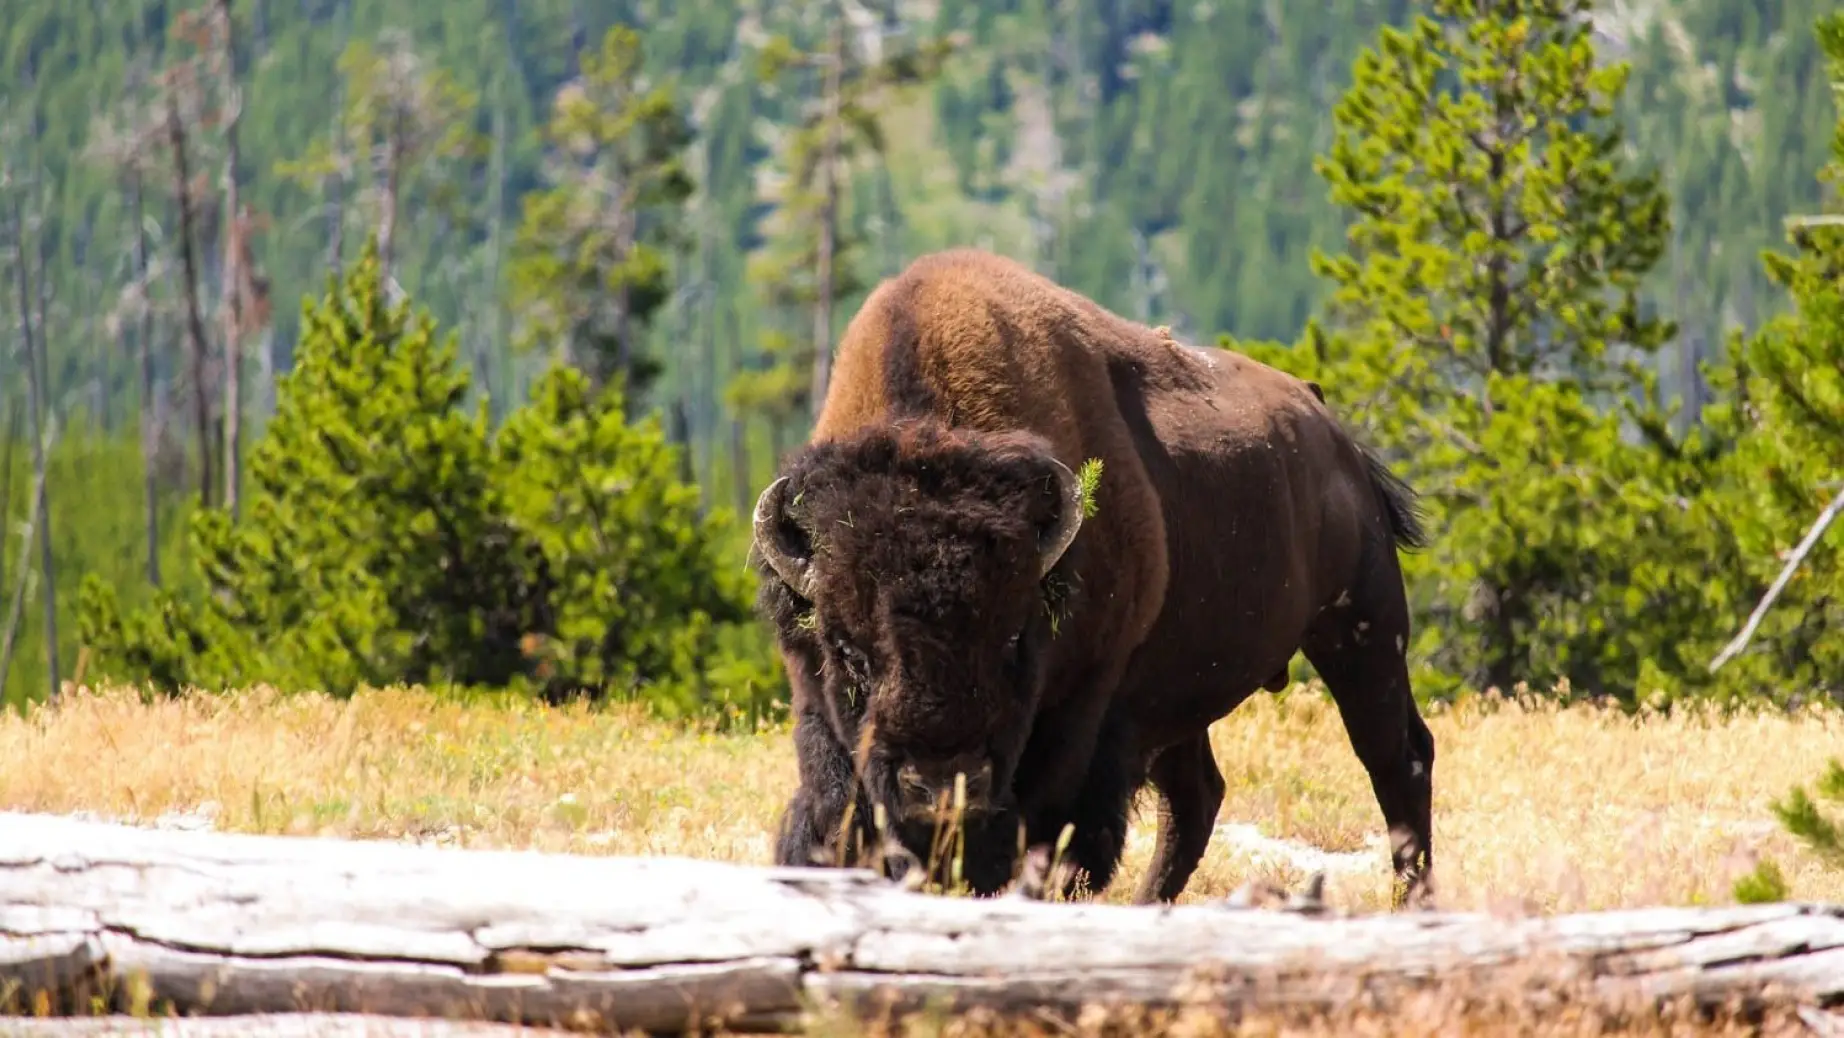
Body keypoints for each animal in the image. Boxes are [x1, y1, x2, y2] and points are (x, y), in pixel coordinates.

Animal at [750, 248, 1435, 906]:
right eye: (848, 650)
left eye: (1013, 639)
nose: (942, 788)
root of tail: (1332, 429)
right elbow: (833, 814)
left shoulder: (1086, 709)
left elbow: (1054, 834)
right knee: (1197, 796)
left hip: (1362, 629)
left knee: (1399, 758)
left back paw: (1411, 901)